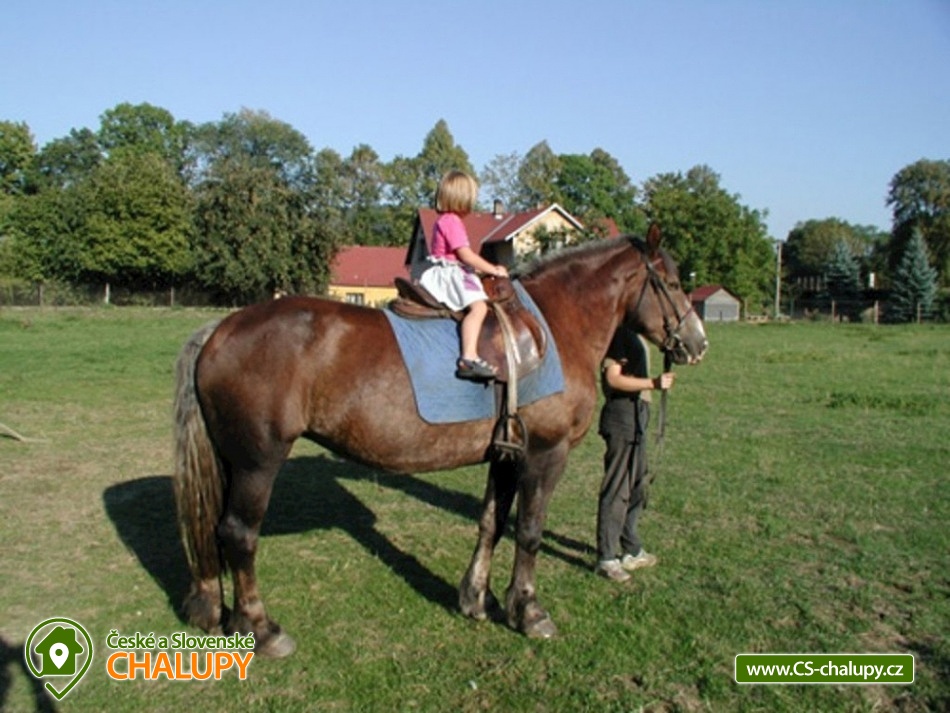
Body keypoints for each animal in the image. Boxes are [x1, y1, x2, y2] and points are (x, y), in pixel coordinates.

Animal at [172, 225, 708, 658]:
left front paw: (476, 599)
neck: (556, 326)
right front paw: (529, 612)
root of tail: (220, 329)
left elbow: (492, 523)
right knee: (239, 535)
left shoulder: (506, 456)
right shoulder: (544, 455)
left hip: (232, 463)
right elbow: (529, 532)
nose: (698, 343)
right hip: (257, 464)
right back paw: (261, 629)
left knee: (218, 532)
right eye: (673, 284)